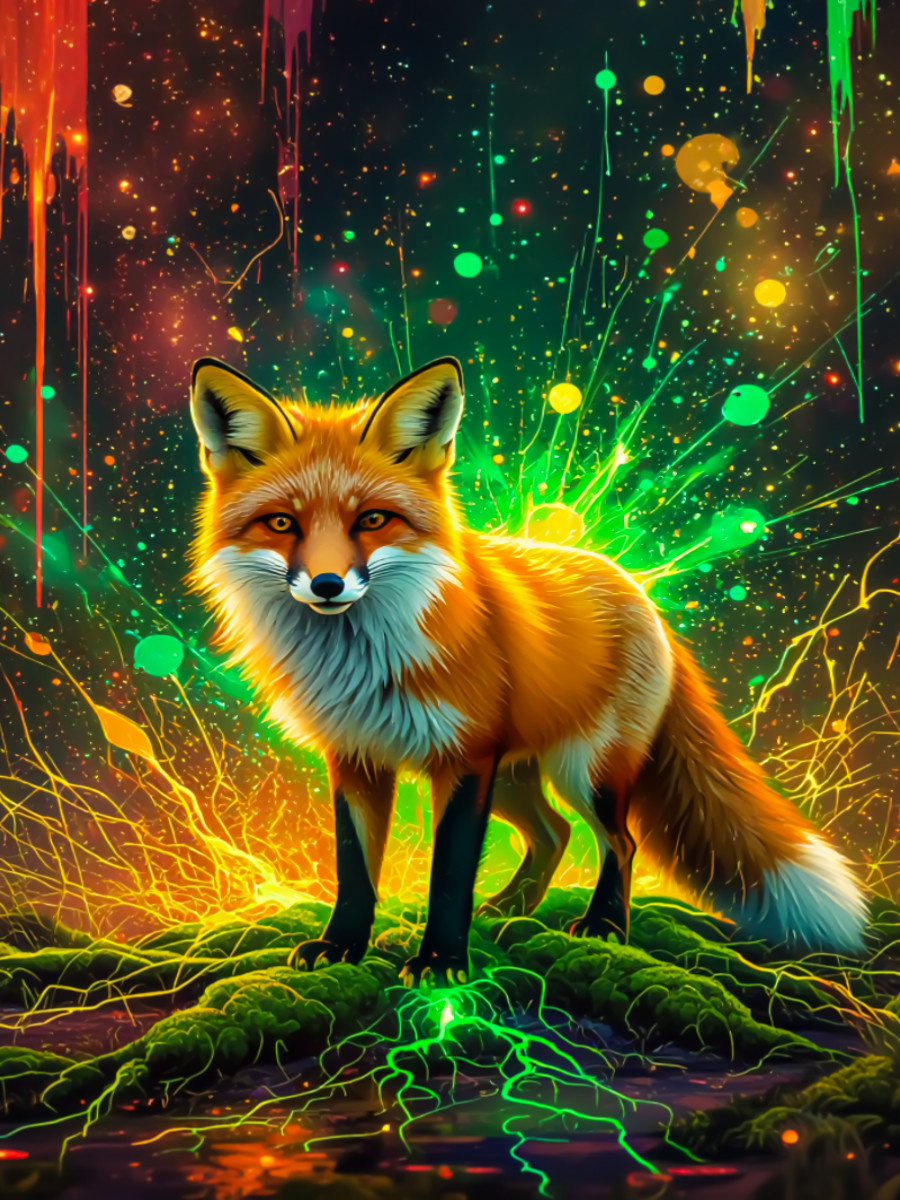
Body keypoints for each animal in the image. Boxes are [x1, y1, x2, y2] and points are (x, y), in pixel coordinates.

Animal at [187, 354, 868, 987]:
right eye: (282, 523)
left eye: (372, 519)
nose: (327, 585)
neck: (364, 660)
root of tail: (637, 589)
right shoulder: (356, 757)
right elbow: (354, 871)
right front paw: (342, 948)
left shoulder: (464, 759)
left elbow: (450, 872)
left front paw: (440, 963)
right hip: (518, 775)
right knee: (554, 833)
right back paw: (514, 906)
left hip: (584, 769)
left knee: (619, 840)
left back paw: (602, 926)